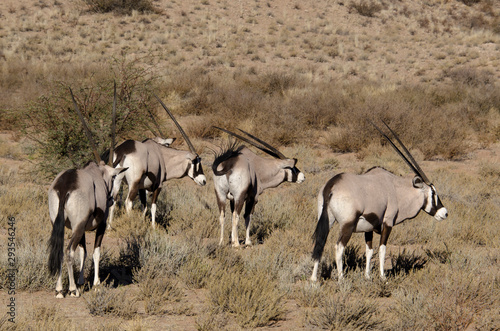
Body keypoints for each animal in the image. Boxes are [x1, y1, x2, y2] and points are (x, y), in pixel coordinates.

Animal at [47, 85, 127, 298]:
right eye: (114, 178)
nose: (111, 199)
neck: (97, 173)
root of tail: (65, 186)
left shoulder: (81, 228)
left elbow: (83, 251)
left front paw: (83, 280)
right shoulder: (99, 225)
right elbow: (95, 251)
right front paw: (96, 283)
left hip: (61, 223)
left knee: (60, 249)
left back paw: (60, 289)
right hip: (78, 225)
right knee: (68, 251)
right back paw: (71, 289)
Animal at [106, 94, 206, 228]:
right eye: (196, 162)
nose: (204, 181)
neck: (162, 155)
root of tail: (123, 151)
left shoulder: (142, 188)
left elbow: (144, 207)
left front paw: (144, 222)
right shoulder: (158, 186)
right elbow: (153, 207)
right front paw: (153, 227)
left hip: (117, 180)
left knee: (114, 199)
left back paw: (109, 227)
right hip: (133, 183)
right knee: (128, 202)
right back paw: (132, 225)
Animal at [310, 122, 448, 282]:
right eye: (433, 193)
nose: (445, 213)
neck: (396, 189)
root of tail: (331, 185)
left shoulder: (368, 228)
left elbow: (369, 250)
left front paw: (367, 276)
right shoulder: (388, 223)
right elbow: (382, 249)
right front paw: (383, 278)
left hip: (327, 220)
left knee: (320, 242)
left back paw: (313, 280)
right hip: (347, 225)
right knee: (339, 247)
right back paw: (341, 279)